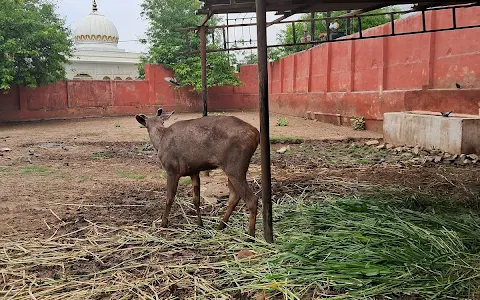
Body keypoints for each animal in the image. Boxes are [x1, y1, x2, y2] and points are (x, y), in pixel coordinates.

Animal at [135, 109, 260, 238]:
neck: (160, 141)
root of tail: (256, 134)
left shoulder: (172, 170)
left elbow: (169, 197)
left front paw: (163, 224)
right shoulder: (194, 171)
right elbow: (196, 199)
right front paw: (200, 224)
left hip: (235, 166)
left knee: (251, 199)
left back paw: (250, 236)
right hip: (232, 168)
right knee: (234, 196)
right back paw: (220, 226)